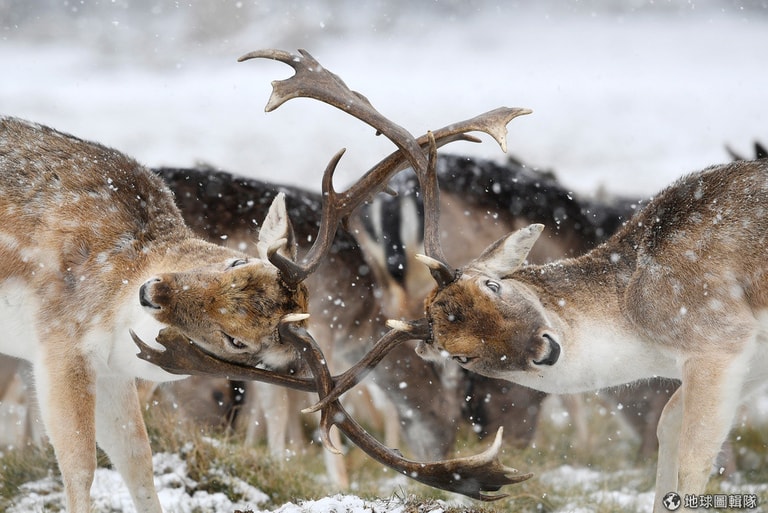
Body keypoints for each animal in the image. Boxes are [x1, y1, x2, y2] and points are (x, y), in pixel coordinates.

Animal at [414, 158, 768, 510]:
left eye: (492, 285)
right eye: (461, 356)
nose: (544, 350)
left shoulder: (718, 337)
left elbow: (693, 460)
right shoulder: (748, 361)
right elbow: (667, 427)